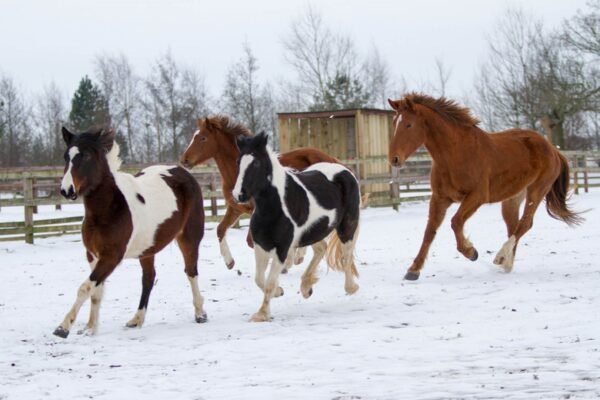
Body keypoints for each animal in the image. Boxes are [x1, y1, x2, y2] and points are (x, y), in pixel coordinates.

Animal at [54, 127, 209, 338]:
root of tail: (183, 172)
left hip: (189, 238)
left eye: (85, 156)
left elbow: (86, 288)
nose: (66, 190)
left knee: (191, 272)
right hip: (148, 249)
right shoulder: (93, 255)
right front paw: (90, 328)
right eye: (65, 156)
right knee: (149, 278)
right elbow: (96, 292)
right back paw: (136, 319)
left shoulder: (111, 257)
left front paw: (63, 327)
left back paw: (200, 314)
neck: (108, 208)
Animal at [178, 116, 340, 272]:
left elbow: (253, 241)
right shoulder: (236, 208)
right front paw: (229, 262)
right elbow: (221, 229)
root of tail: (332, 159)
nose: (184, 160)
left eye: (203, 138)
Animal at [232, 134, 358, 322]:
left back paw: (351, 288)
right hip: (313, 231)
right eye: (238, 161)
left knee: (346, 257)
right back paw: (306, 287)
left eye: (256, 163)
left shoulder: (281, 248)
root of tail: (342, 168)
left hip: (347, 227)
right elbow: (259, 279)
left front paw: (261, 314)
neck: (273, 207)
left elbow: (269, 282)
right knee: (321, 249)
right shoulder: (261, 246)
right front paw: (279, 292)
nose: (238, 195)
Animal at [390, 94, 580, 282]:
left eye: (408, 124)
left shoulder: (477, 196)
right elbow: (429, 231)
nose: (394, 159)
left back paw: (501, 257)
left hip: (537, 190)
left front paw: (471, 252)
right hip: (512, 198)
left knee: (525, 224)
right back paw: (507, 263)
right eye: (394, 123)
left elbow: (456, 222)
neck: (455, 154)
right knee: (514, 226)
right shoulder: (439, 198)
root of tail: (553, 149)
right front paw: (413, 270)